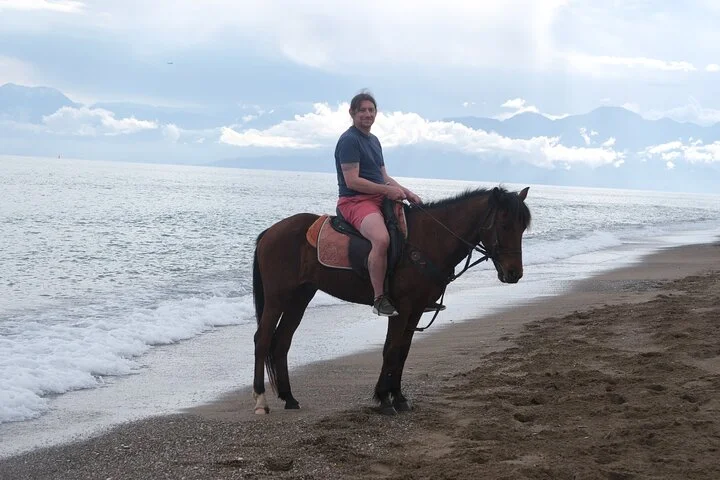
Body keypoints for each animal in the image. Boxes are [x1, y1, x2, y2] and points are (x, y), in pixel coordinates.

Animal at [252, 186, 531, 415]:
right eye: (504, 224)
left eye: (522, 227)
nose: (514, 273)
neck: (428, 240)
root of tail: (270, 232)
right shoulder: (402, 308)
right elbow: (391, 349)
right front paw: (384, 399)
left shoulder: (416, 310)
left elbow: (403, 352)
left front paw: (398, 396)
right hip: (277, 298)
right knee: (263, 339)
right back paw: (261, 400)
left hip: (300, 297)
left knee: (282, 341)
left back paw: (289, 397)